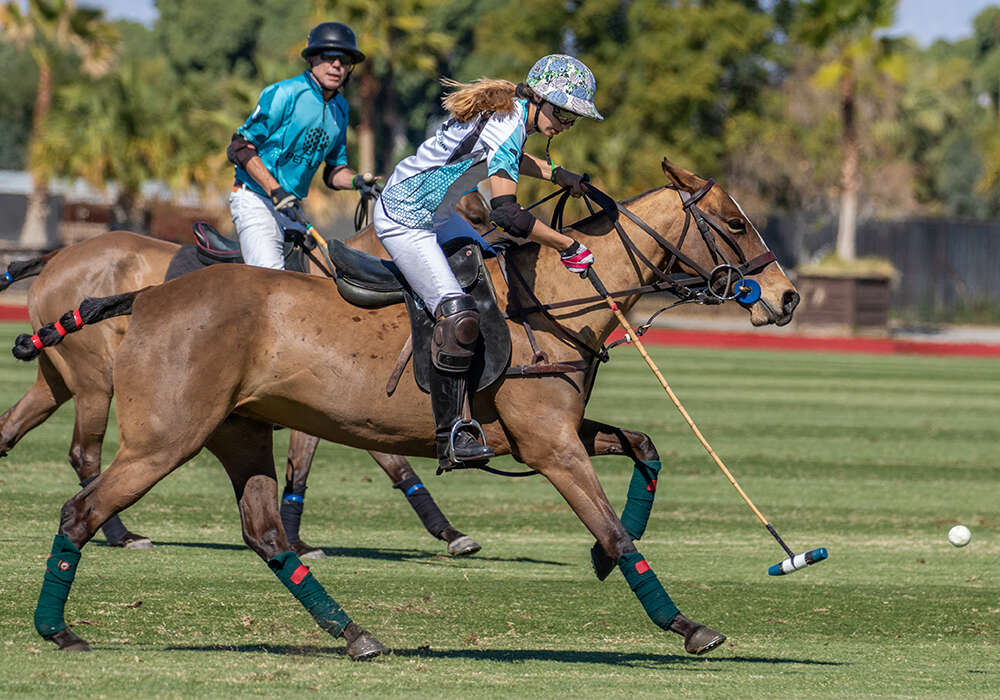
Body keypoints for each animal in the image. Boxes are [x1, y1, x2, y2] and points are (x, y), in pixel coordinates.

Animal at [1, 194, 494, 556]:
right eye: (477, 218)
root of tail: (58, 254)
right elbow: (337, 464)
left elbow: (383, 464)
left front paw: (451, 533)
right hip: (95, 382)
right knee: (85, 454)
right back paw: (121, 533)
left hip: (56, 378)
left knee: (11, 427)